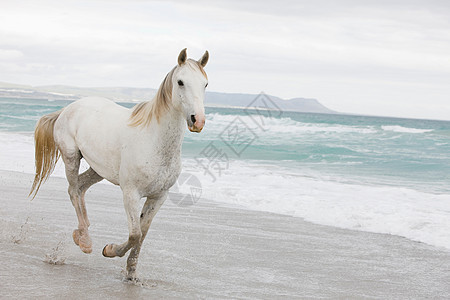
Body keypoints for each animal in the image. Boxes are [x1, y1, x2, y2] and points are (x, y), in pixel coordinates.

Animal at [29, 48, 209, 280]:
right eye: (180, 82)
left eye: (205, 84)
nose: (198, 121)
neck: (154, 139)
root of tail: (68, 108)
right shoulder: (130, 193)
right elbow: (135, 234)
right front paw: (109, 250)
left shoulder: (158, 197)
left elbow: (143, 234)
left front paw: (131, 273)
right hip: (71, 157)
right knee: (73, 190)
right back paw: (85, 241)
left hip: (98, 170)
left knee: (80, 187)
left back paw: (81, 232)